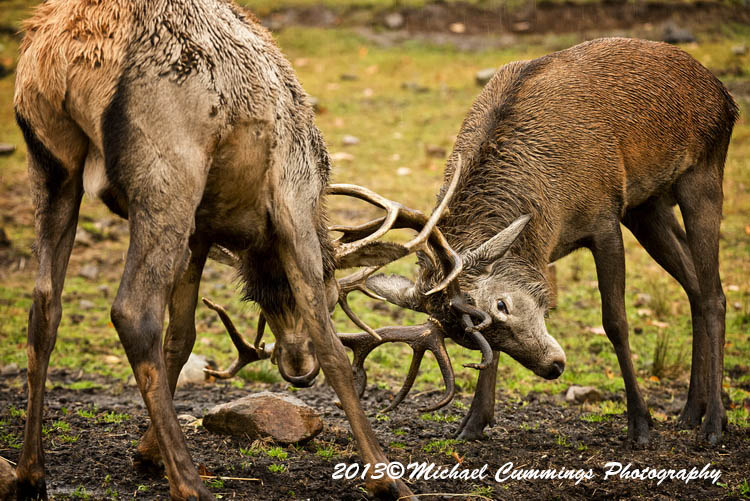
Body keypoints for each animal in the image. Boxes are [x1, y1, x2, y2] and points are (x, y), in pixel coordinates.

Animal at [9, 0, 490, 499]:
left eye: (255, 299)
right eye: (334, 298)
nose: (297, 370)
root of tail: (61, 55)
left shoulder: (201, 231)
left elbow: (182, 336)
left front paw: (146, 453)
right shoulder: (293, 204)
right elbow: (332, 349)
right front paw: (385, 478)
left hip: (50, 162)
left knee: (45, 304)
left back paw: (31, 473)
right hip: (167, 168)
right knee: (132, 311)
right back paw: (190, 484)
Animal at [330, 37, 737, 446]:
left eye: (502, 304)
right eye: (471, 339)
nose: (553, 367)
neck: (549, 210)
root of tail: (723, 93)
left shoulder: (604, 218)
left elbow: (615, 322)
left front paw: (640, 424)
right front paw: (473, 423)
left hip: (703, 169)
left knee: (714, 294)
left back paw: (713, 422)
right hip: (646, 206)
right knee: (695, 287)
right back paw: (692, 410)